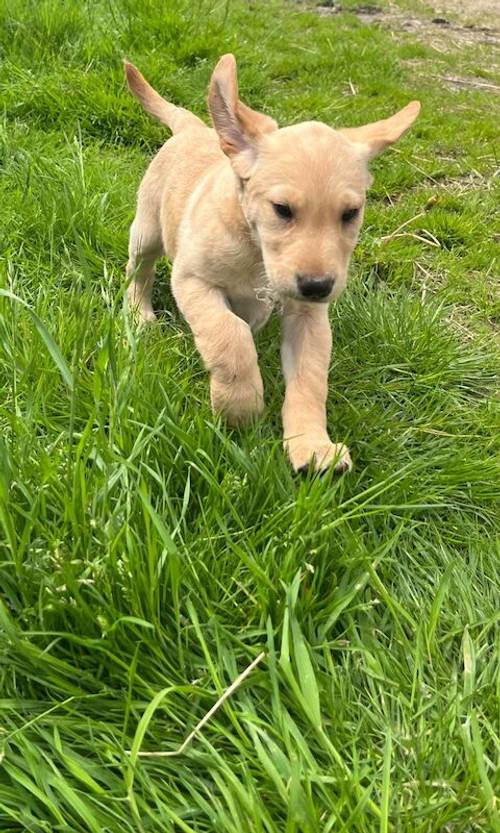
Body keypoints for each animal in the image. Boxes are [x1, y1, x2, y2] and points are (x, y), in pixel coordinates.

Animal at [124, 53, 418, 474]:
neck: (255, 252)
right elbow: (229, 336)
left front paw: (312, 444)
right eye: (282, 209)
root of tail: (195, 126)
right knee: (139, 272)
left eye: (350, 214)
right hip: (146, 232)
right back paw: (138, 312)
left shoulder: (308, 316)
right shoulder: (194, 280)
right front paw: (239, 405)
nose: (317, 286)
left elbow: (310, 380)